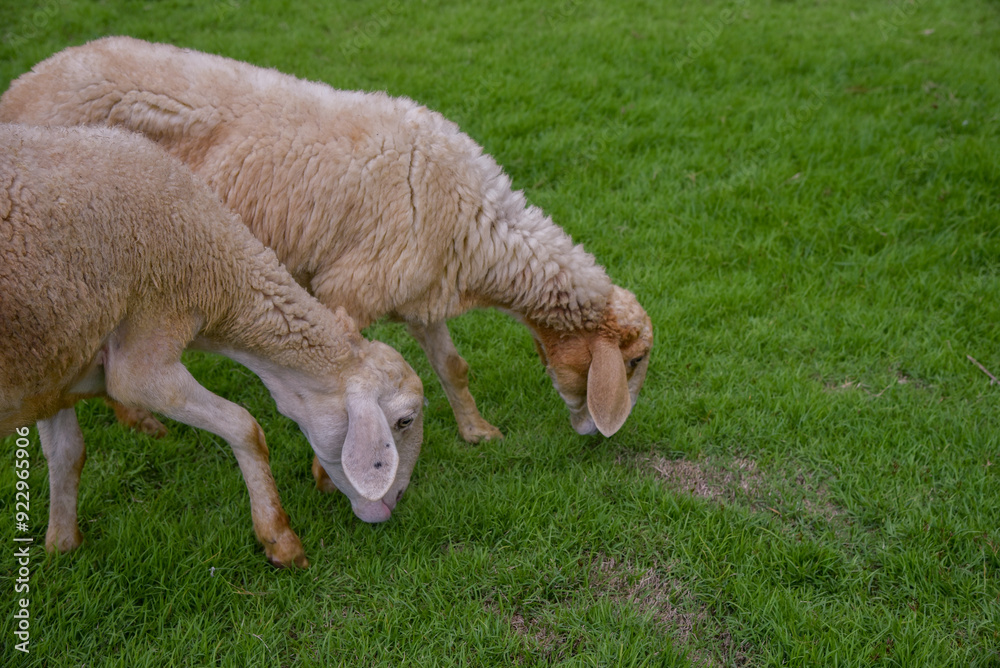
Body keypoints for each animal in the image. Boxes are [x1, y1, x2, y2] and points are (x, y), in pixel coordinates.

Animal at [0, 35, 653, 450]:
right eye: (634, 362)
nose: (600, 436)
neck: (473, 222)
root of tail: (28, 82)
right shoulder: (349, 290)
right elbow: (345, 376)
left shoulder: (420, 290)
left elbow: (454, 366)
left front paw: (477, 432)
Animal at [0, 123, 424, 568]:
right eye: (405, 420)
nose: (394, 502)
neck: (217, 267)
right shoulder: (142, 362)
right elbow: (245, 426)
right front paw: (280, 539)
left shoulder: (52, 367)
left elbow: (67, 453)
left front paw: (62, 547)